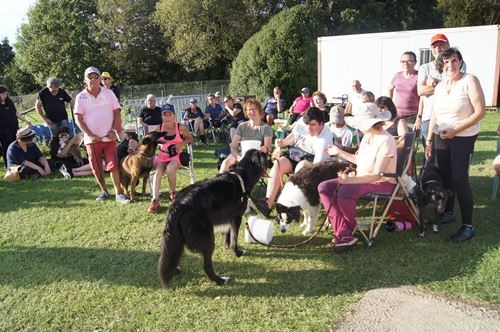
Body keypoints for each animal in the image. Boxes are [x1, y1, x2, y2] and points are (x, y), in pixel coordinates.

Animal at [158, 149, 272, 286]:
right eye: (267, 157)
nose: (273, 162)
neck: (242, 176)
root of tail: (177, 204)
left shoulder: (228, 218)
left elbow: (228, 235)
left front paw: (227, 247)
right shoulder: (236, 218)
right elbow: (234, 238)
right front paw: (237, 252)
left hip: (178, 239)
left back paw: (176, 270)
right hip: (207, 238)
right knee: (206, 266)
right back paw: (220, 280)